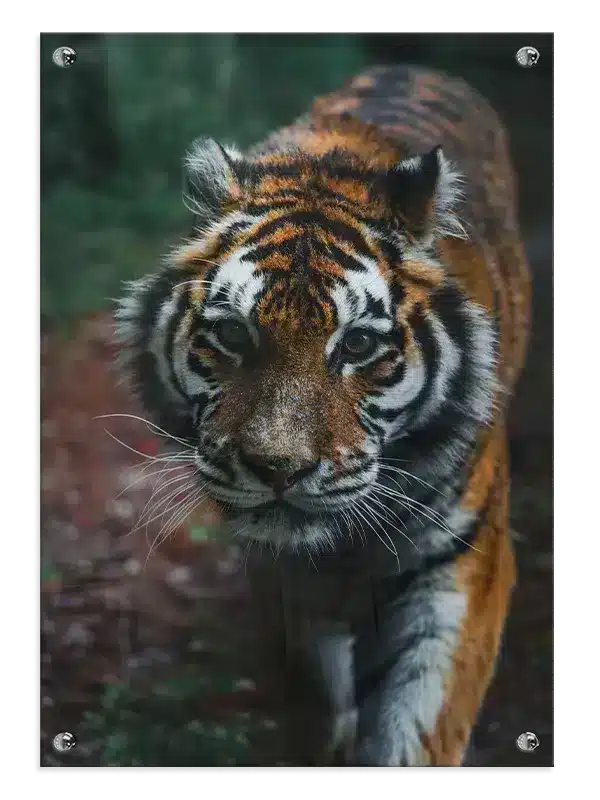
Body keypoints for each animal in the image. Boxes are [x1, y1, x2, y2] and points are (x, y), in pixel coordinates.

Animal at [116, 64, 531, 767]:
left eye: (358, 345)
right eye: (233, 336)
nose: (278, 468)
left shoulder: (461, 563)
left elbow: (419, 725)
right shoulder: (286, 577)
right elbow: (318, 698)